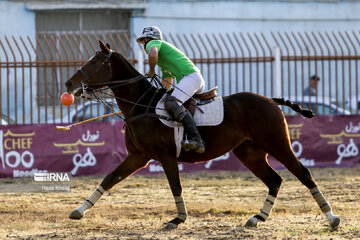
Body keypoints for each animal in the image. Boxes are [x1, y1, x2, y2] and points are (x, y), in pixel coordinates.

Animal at [64, 40, 340, 231]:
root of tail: (271, 100)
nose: (68, 84)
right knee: (275, 180)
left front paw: (178, 218)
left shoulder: (166, 156)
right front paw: (79, 210)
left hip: (278, 143)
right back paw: (258, 217)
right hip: (249, 152)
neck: (140, 106)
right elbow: (109, 178)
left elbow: (175, 186)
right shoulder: (137, 157)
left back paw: (332, 217)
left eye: (93, 62)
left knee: (303, 173)